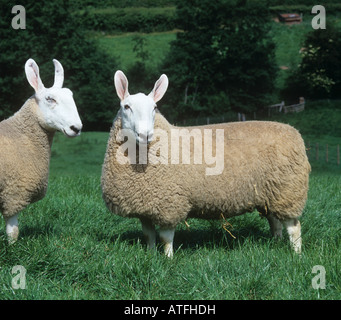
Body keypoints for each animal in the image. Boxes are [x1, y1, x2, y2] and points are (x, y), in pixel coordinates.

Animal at [99, 70, 310, 258]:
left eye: (154, 108)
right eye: (126, 106)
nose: (145, 135)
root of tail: (294, 132)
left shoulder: (170, 203)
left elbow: (166, 238)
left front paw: (168, 259)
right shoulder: (145, 206)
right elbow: (148, 235)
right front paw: (151, 256)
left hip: (289, 190)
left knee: (294, 227)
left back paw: (296, 254)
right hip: (271, 193)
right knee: (275, 222)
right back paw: (276, 243)